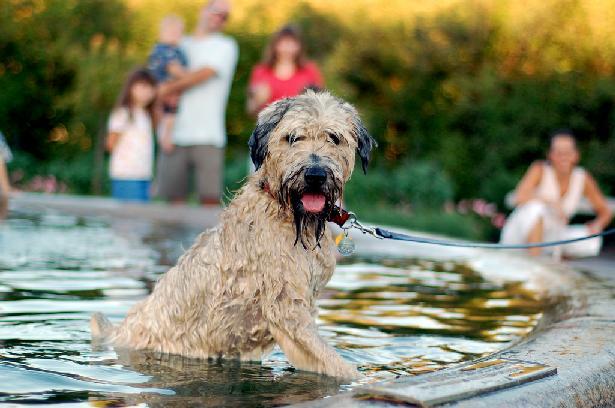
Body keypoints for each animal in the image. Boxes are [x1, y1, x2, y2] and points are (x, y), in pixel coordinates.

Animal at [92, 90, 376, 380]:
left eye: (334, 137)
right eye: (292, 137)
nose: (315, 175)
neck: (288, 215)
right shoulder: (287, 310)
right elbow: (336, 364)